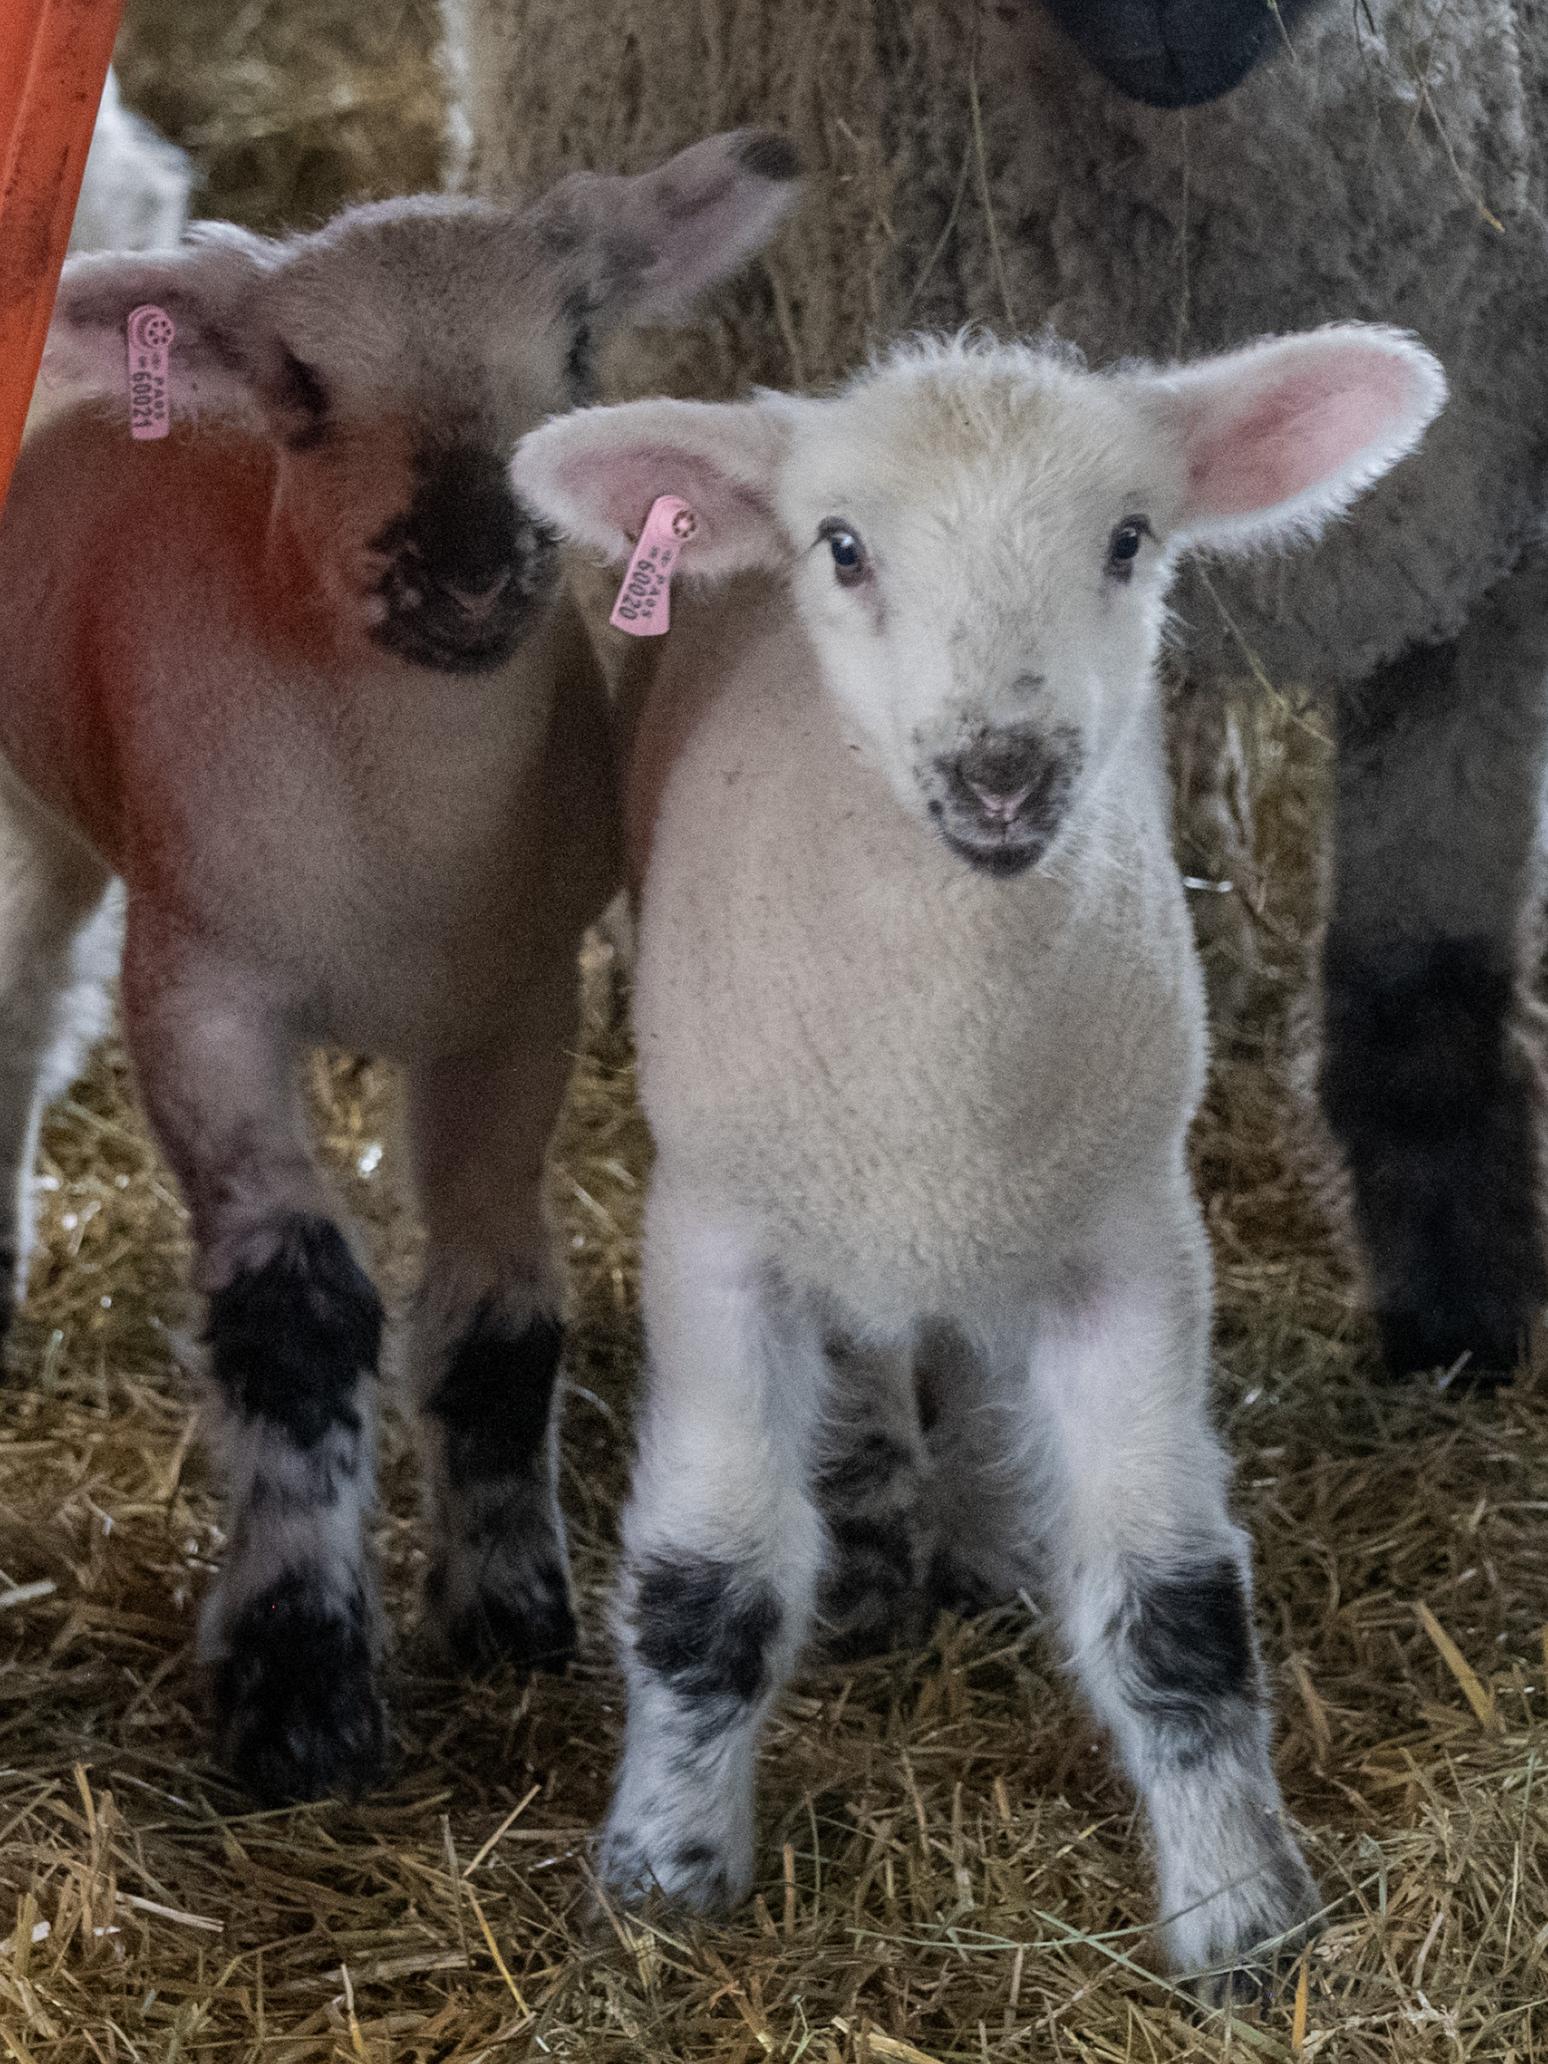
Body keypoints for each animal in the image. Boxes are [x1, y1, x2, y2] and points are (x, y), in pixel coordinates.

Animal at [0, 130, 800, 1803]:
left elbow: (501, 1311)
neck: (396, 828)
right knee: (22, 1005)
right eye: (298, 386)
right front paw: (300, 1690)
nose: (471, 568)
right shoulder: (204, 994)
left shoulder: (512, 1006)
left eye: (578, 349)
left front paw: (511, 1608)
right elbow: (295, 1314)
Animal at [511, 320, 1446, 1996]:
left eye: (1130, 540)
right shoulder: (716, 1239)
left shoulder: (1133, 1246)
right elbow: (709, 1585)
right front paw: (666, 1877)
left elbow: (1172, 1602)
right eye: (841, 546)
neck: (938, 1082)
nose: (1003, 771)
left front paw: (1245, 1920)